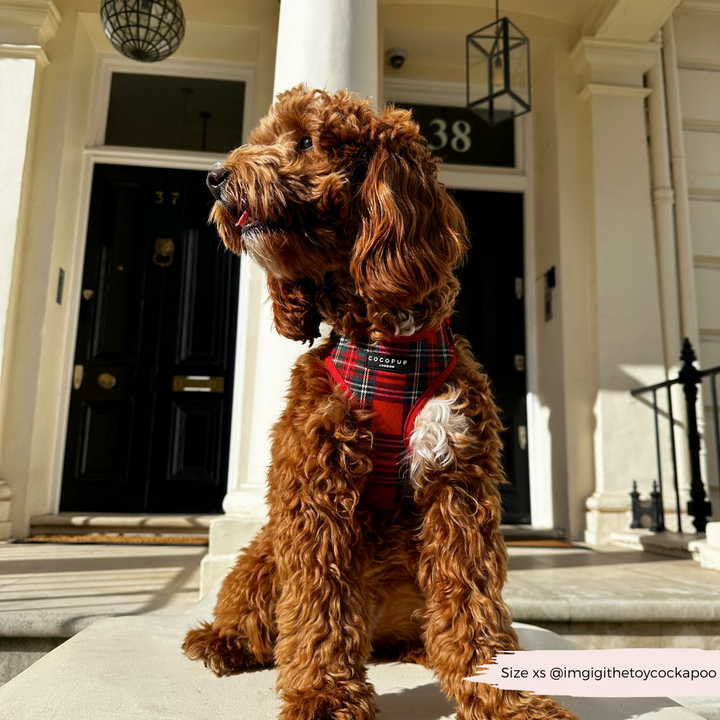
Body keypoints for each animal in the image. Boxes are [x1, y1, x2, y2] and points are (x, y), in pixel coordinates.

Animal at [183, 87, 576, 720]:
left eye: (306, 141)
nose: (215, 177)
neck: (387, 344)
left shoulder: (458, 485)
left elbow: (474, 603)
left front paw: (505, 698)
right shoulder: (314, 489)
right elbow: (318, 604)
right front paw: (323, 694)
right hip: (265, 552)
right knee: (254, 610)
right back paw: (223, 643)